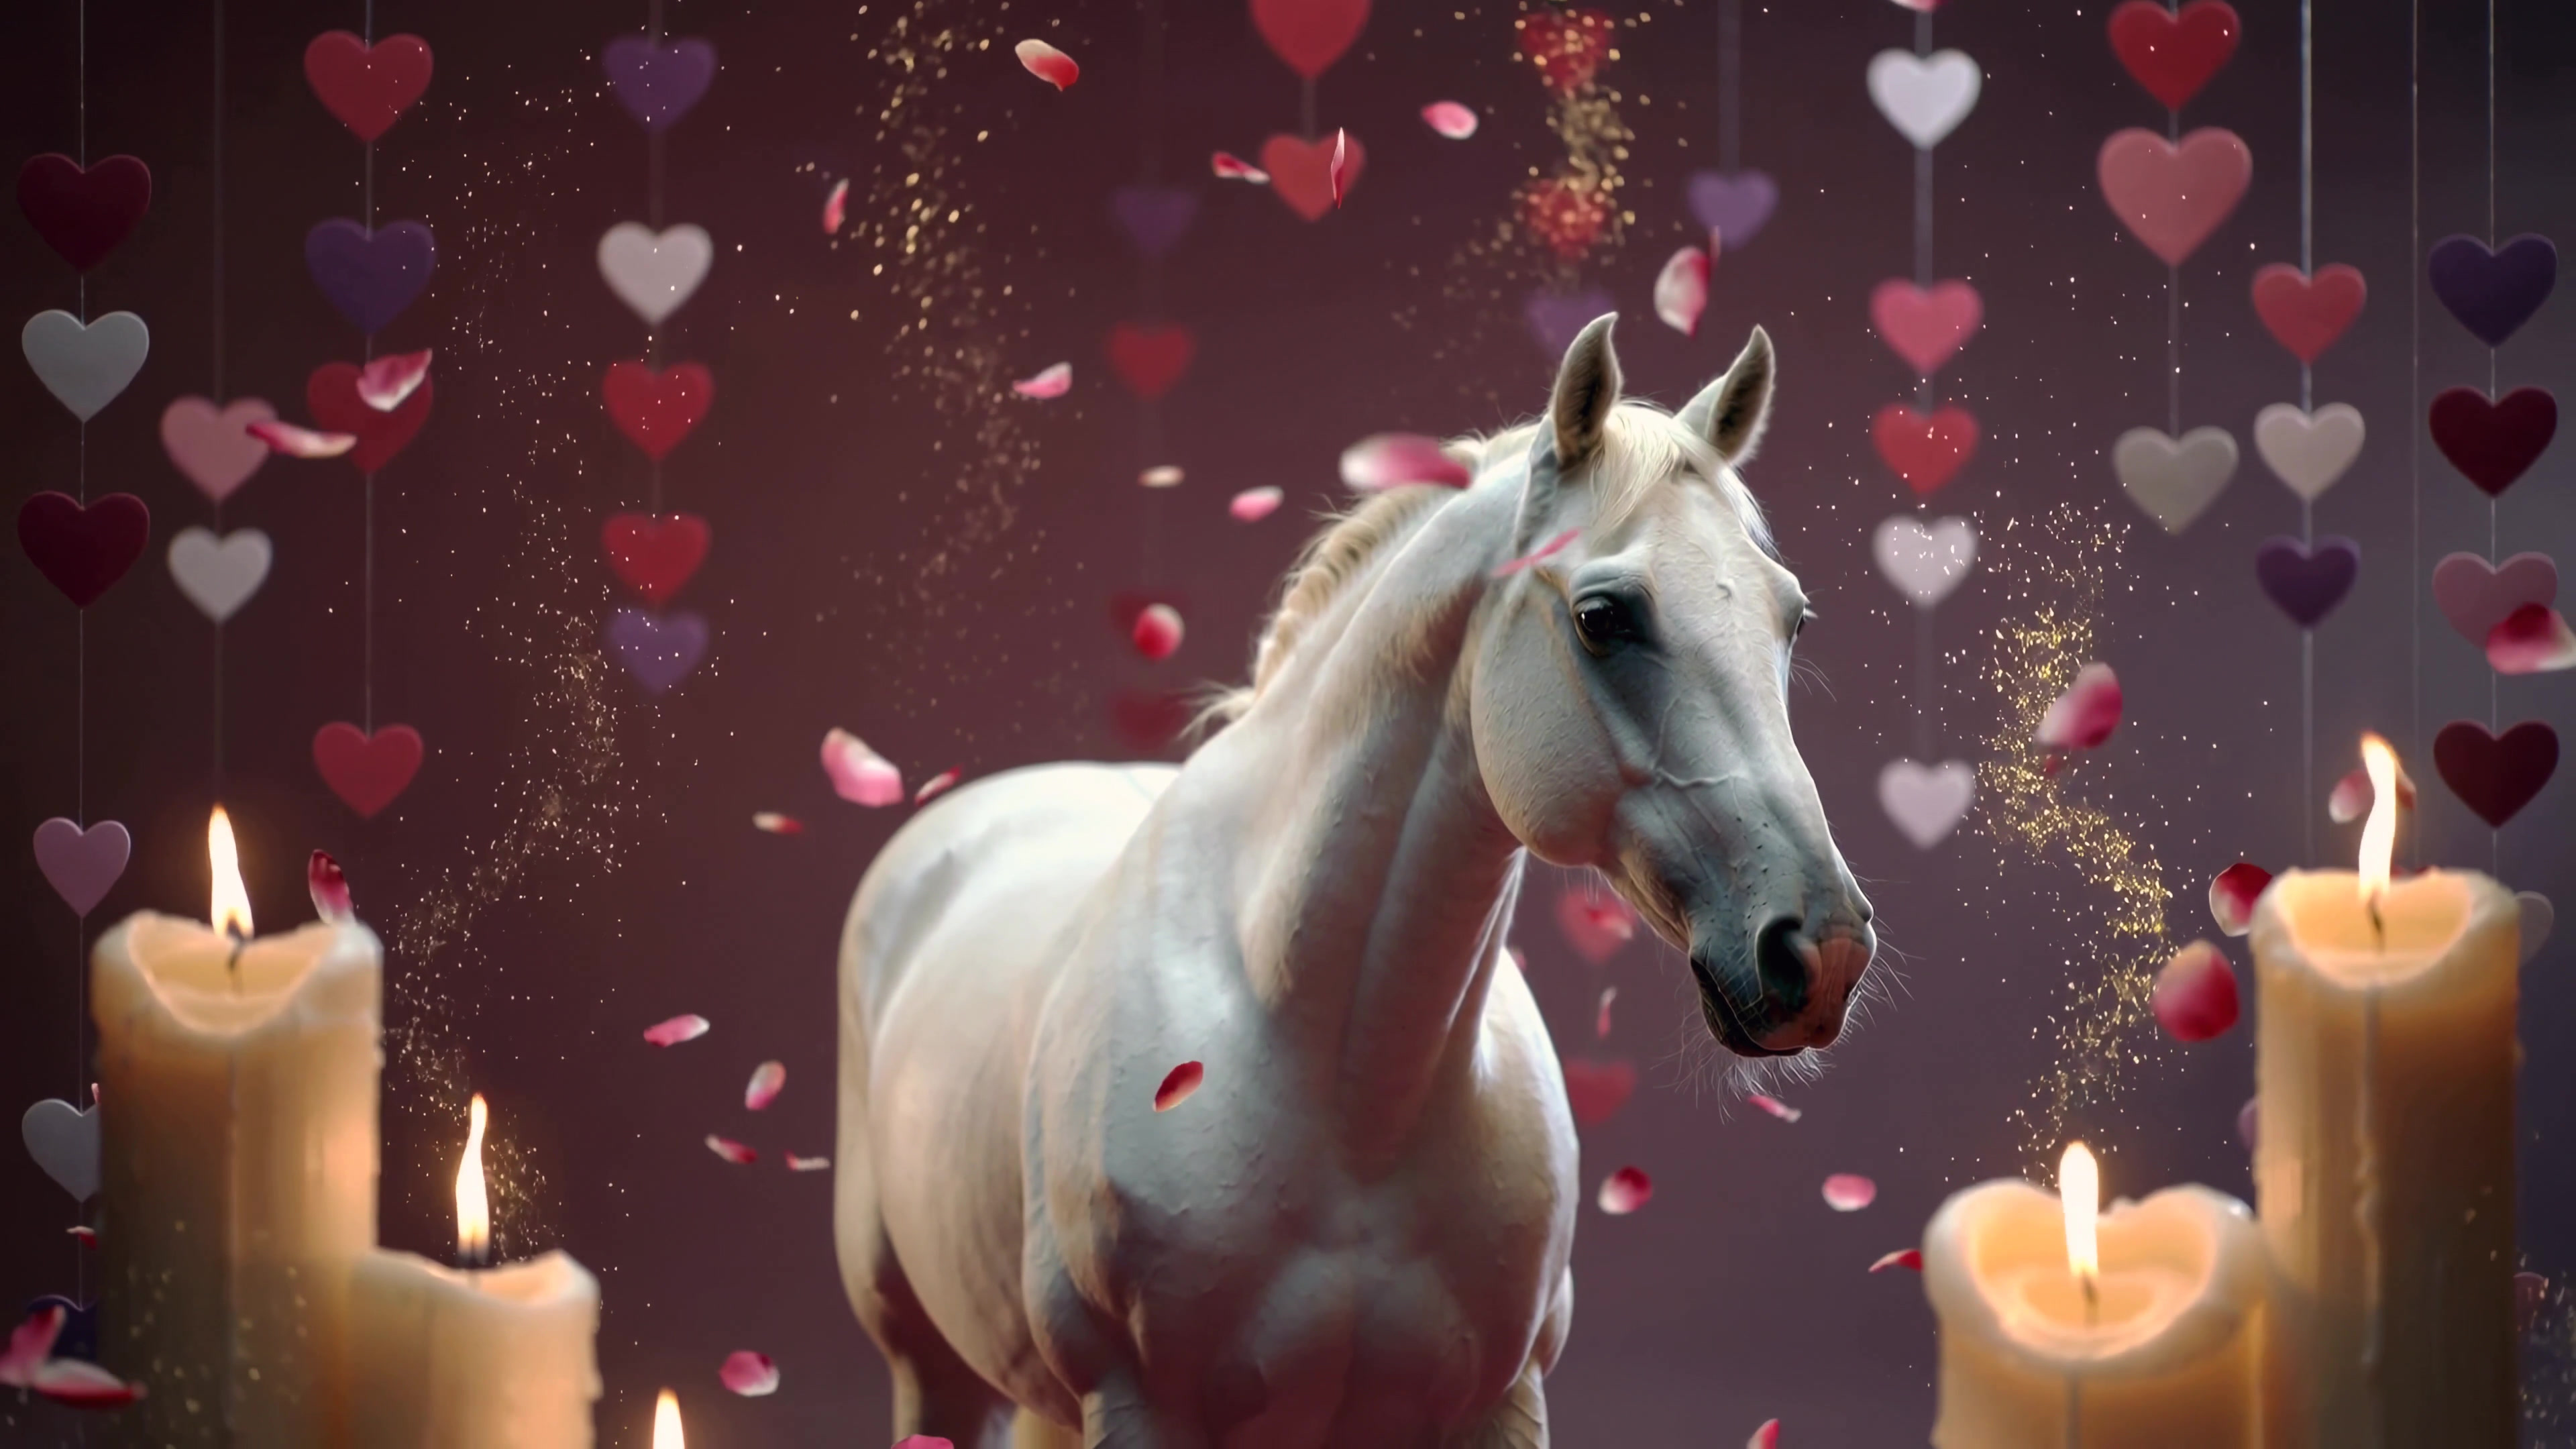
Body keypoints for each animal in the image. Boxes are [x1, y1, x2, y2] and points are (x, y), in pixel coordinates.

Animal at [834, 315, 1876, 1448]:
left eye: (1794, 618)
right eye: (1604, 616)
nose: (1821, 949)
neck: (1347, 1089)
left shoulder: (1501, 1402)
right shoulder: (1139, 1406)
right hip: (931, 1371)